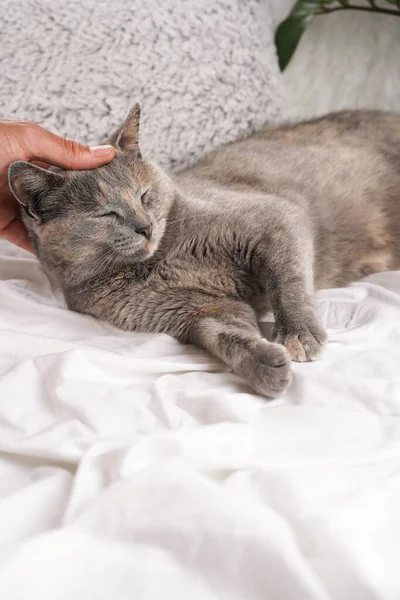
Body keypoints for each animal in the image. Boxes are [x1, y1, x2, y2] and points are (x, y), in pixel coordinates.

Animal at [7, 106, 400, 398]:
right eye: (107, 214)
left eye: (144, 195)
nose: (145, 226)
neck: (160, 262)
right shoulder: (197, 309)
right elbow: (225, 335)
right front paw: (265, 366)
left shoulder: (273, 220)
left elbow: (288, 282)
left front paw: (299, 336)